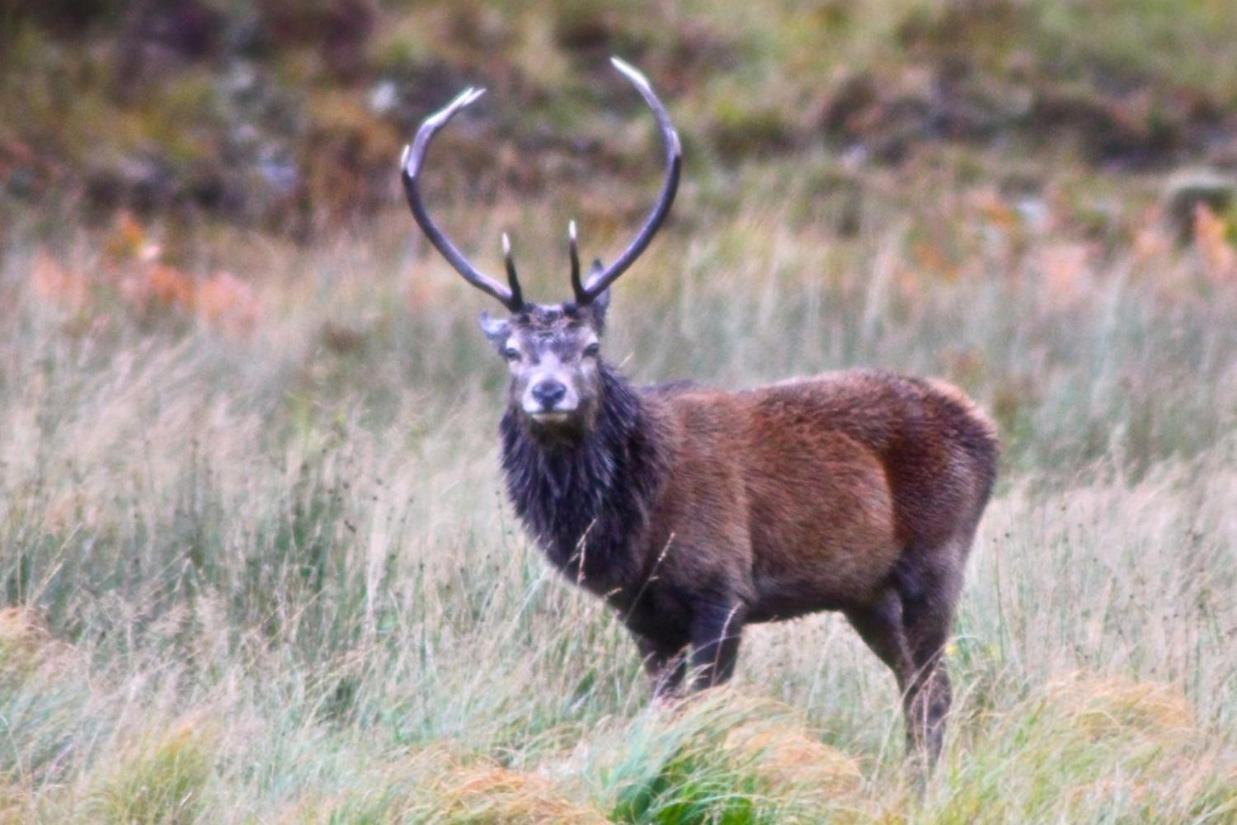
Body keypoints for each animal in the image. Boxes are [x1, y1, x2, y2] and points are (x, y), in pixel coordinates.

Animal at [395, 58, 994, 761]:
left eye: (591, 346)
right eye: (512, 353)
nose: (548, 392)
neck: (633, 522)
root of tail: (984, 426)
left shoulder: (723, 589)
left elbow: (706, 713)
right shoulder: (640, 613)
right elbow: (665, 710)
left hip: (937, 560)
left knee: (934, 690)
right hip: (866, 593)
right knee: (915, 688)